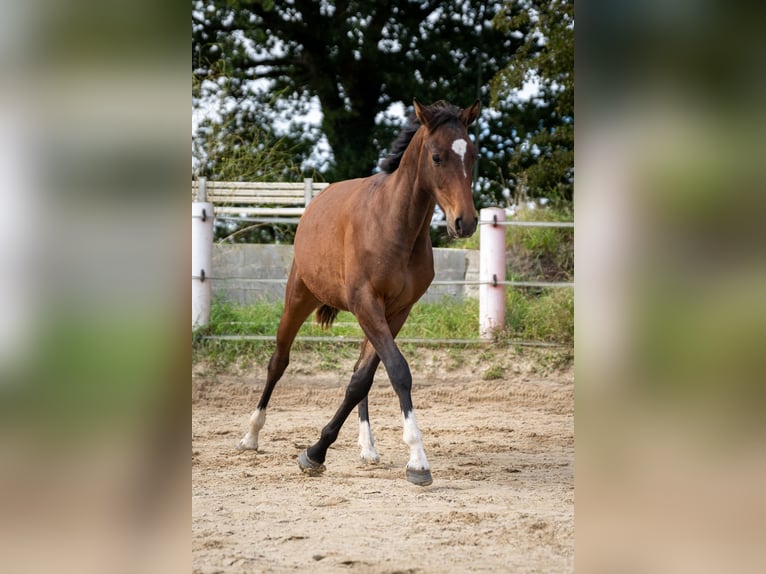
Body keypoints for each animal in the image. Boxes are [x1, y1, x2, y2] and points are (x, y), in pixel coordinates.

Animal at [237, 98, 481, 486]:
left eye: (472, 155)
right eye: (437, 157)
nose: (465, 222)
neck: (395, 225)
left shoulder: (396, 311)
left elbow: (362, 379)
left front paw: (317, 451)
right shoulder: (366, 302)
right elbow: (398, 371)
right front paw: (418, 460)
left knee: (357, 370)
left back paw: (367, 448)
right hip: (300, 295)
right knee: (278, 361)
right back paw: (251, 435)